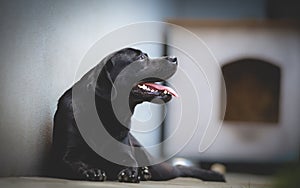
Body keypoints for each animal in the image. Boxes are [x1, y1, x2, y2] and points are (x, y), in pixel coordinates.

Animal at [51, 47, 225, 183]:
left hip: (158, 166)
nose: (174, 58)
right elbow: (75, 163)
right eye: (141, 58)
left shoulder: (124, 151)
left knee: (179, 168)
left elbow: (130, 161)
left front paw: (130, 172)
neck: (106, 114)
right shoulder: (65, 156)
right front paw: (91, 171)